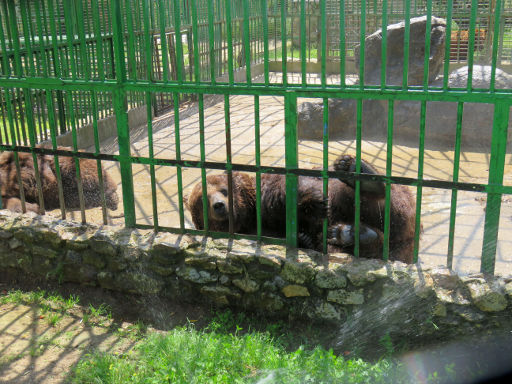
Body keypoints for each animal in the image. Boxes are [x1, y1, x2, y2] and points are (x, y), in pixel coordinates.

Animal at [186, 154, 418, 264]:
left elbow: (293, 186)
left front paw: (313, 205)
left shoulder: (268, 189)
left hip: (398, 205)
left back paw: (359, 173)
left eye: (223, 190)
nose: (218, 205)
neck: (251, 215)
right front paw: (304, 237)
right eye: (203, 201)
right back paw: (351, 233)